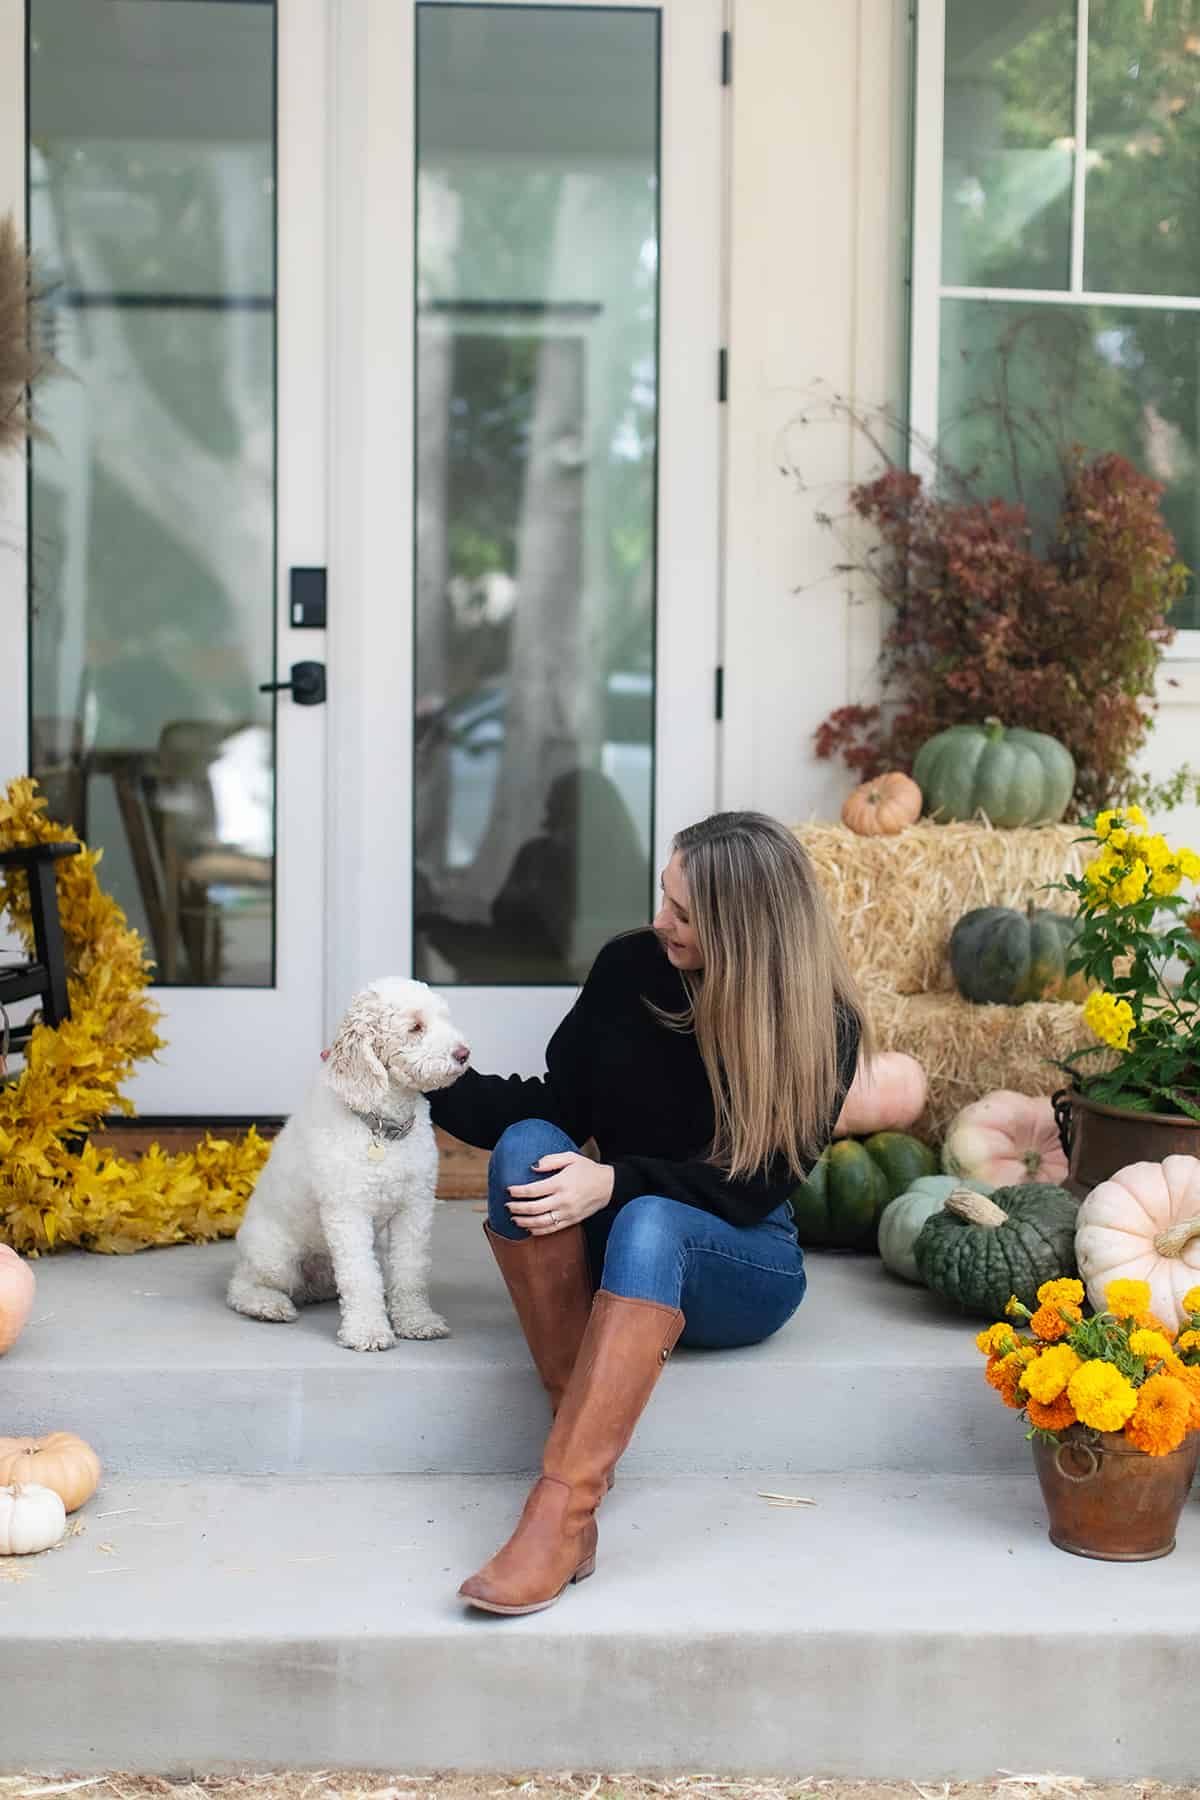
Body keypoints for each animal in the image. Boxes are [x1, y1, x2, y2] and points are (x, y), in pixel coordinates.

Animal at [224, 986, 467, 1353]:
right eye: (415, 1027)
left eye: (444, 1018)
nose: (464, 1054)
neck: (382, 1128)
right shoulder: (348, 1211)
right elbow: (360, 1275)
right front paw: (367, 1331)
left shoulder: (415, 1207)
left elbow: (410, 1269)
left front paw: (416, 1321)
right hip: (275, 1257)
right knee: (242, 1285)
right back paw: (269, 1305)